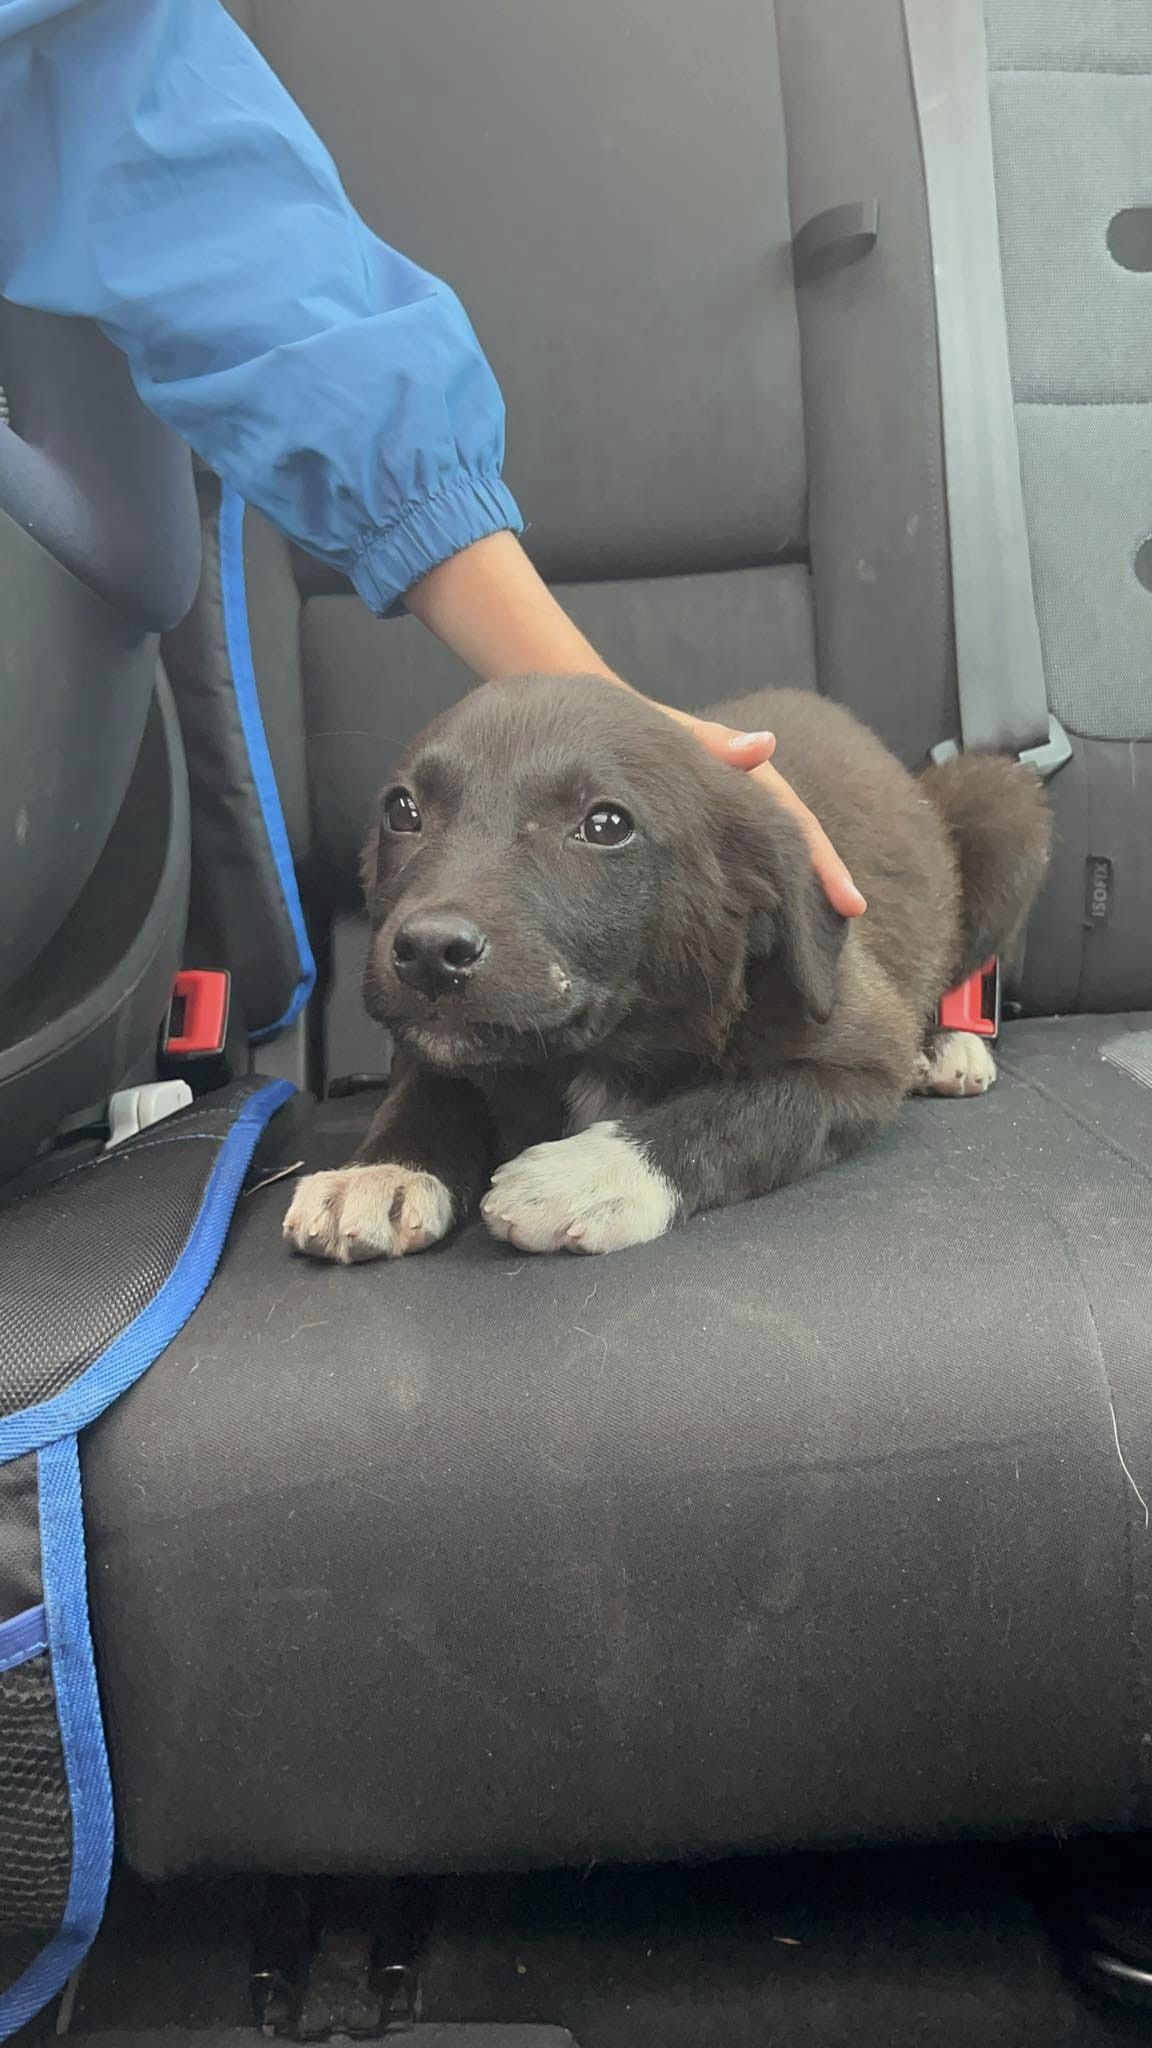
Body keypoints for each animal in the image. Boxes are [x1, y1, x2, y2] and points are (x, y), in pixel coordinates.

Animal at [284, 676, 1050, 1261]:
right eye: (402, 810)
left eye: (604, 825)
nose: (427, 952)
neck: (600, 1047)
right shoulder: (431, 1038)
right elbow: (427, 1082)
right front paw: (382, 1169)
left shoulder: (860, 1059)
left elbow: (746, 1110)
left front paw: (589, 1174)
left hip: (1003, 802)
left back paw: (950, 1044)